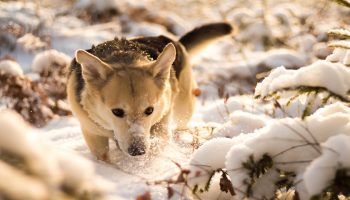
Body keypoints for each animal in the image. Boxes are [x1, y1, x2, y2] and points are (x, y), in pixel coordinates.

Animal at [67, 22, 234, 160]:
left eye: (149, 110)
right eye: (117, 112)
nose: (138, 151)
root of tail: (175, 41)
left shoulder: (162, 121)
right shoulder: (93, 133)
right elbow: (103, 156)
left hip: (184, 108)